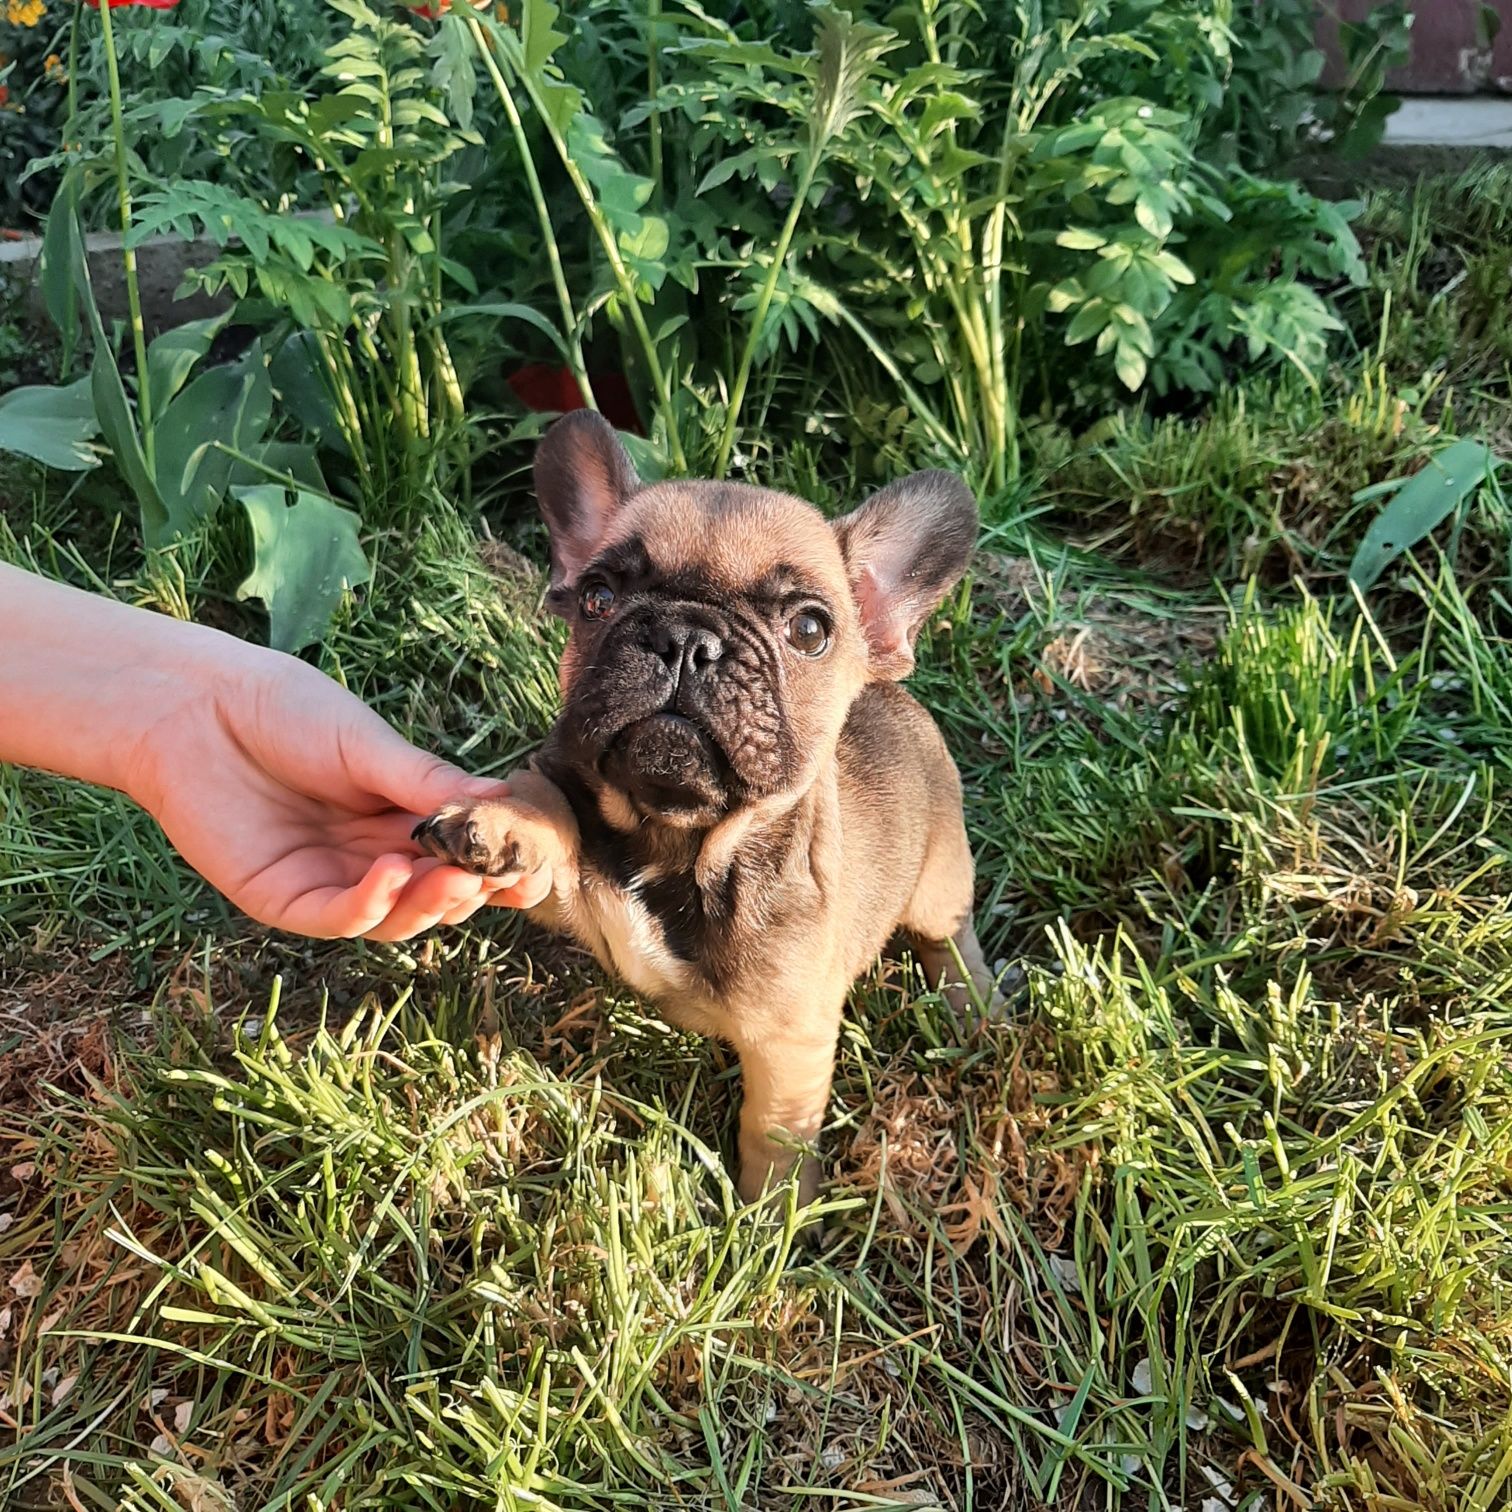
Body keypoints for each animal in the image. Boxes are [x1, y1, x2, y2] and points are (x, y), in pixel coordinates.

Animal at [420, 414, 997, 1203]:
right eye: (597, 597)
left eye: (810, 630)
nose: (686, 638)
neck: (675, 838)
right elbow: (546, 798)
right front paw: (505, 824)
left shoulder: (790, 1041)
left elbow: (774, 1131)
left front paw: (771, 1213)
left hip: (938, 878)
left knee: (950, 932)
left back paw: (973, 1004)